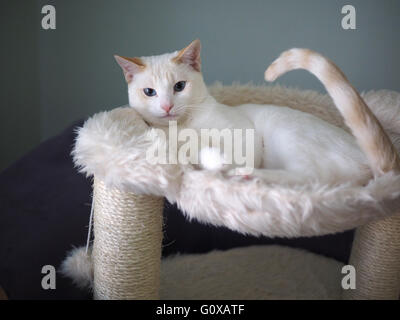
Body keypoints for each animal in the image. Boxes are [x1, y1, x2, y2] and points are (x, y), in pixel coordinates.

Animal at [115, 40, 396, 185]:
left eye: (179, 86)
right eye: (149, 92)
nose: (167, 106)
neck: (184, 126)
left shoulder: (242, 136)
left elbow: (229, 154)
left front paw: (222, 163)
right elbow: (196, 154)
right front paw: (211, 160)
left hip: (287, 133)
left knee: (308, 178)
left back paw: (247, 175)